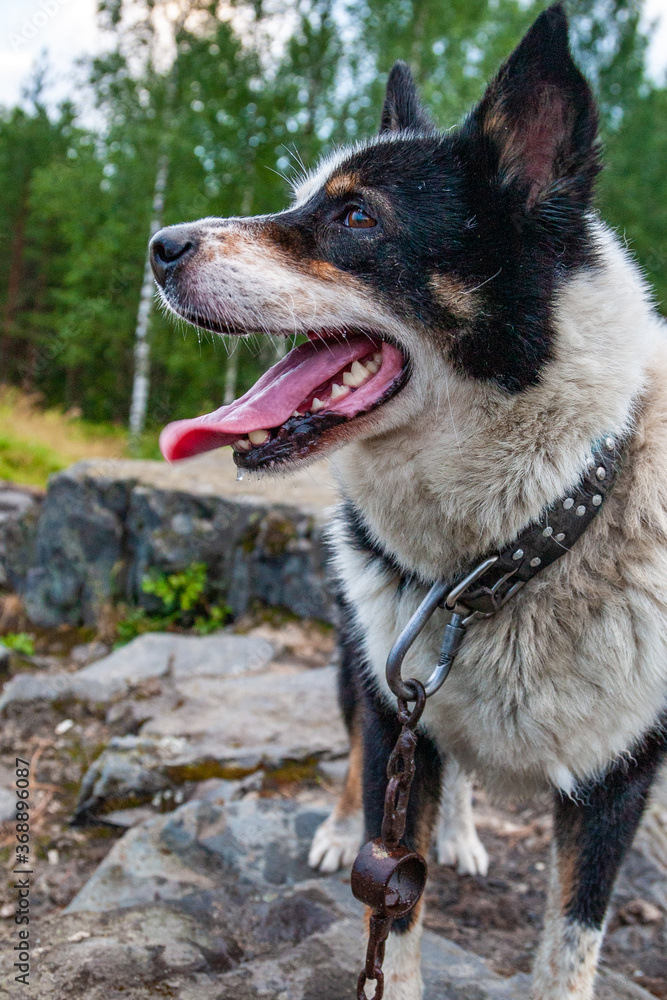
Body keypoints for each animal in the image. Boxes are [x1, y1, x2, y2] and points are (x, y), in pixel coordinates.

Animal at [150, 5, 667, 992]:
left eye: (355, 216)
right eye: (302, 201)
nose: (159, 246)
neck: (512, 552)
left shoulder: (623, 778)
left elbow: (569, 942)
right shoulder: (396, 706)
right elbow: (394, 906)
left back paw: (461, 830)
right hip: (361, 654)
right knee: (361, 751)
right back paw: (337, 826)